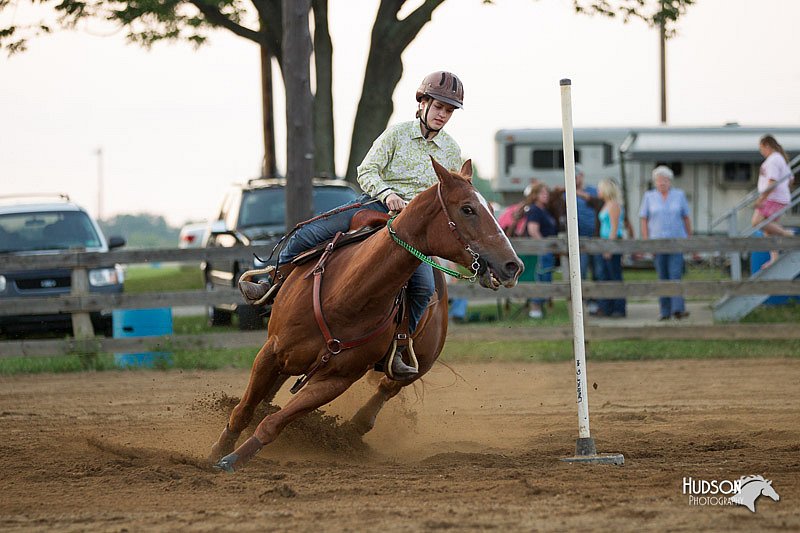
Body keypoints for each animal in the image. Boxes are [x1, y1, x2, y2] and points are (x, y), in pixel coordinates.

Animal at [211, 157, 524, 470]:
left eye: (492, 208)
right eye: (467, 209)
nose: (513, 265)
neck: (346, 297)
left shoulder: (336, 380)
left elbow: (273, 423)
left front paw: (233, 458)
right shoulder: (272, 351)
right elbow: (244, 409)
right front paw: (218, 451)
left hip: (423, 361)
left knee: (388, 387)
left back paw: (354, 428)